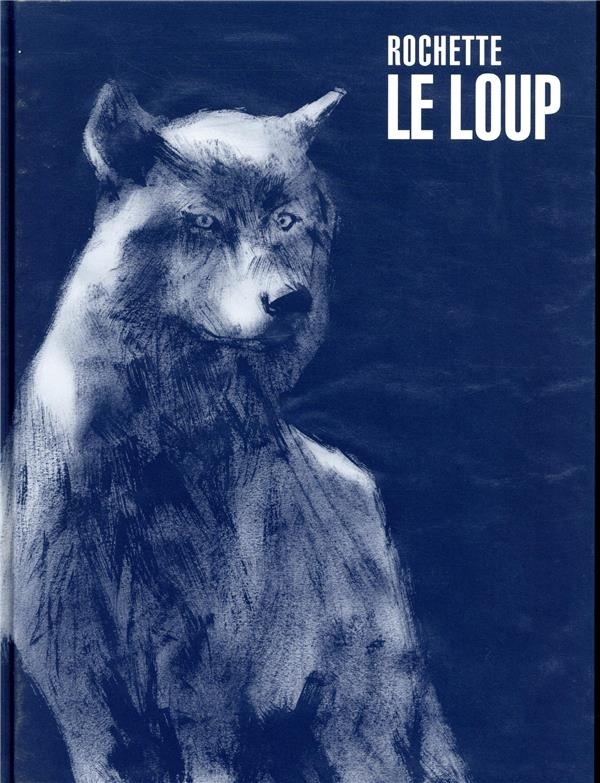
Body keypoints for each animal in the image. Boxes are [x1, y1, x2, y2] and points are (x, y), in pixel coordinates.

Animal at [1, 83, 469, 783]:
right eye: (204, 223)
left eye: (286, 221)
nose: (292, 301)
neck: (151, 460)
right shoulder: (83, 698)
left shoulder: (207, 699)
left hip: (357, 731)